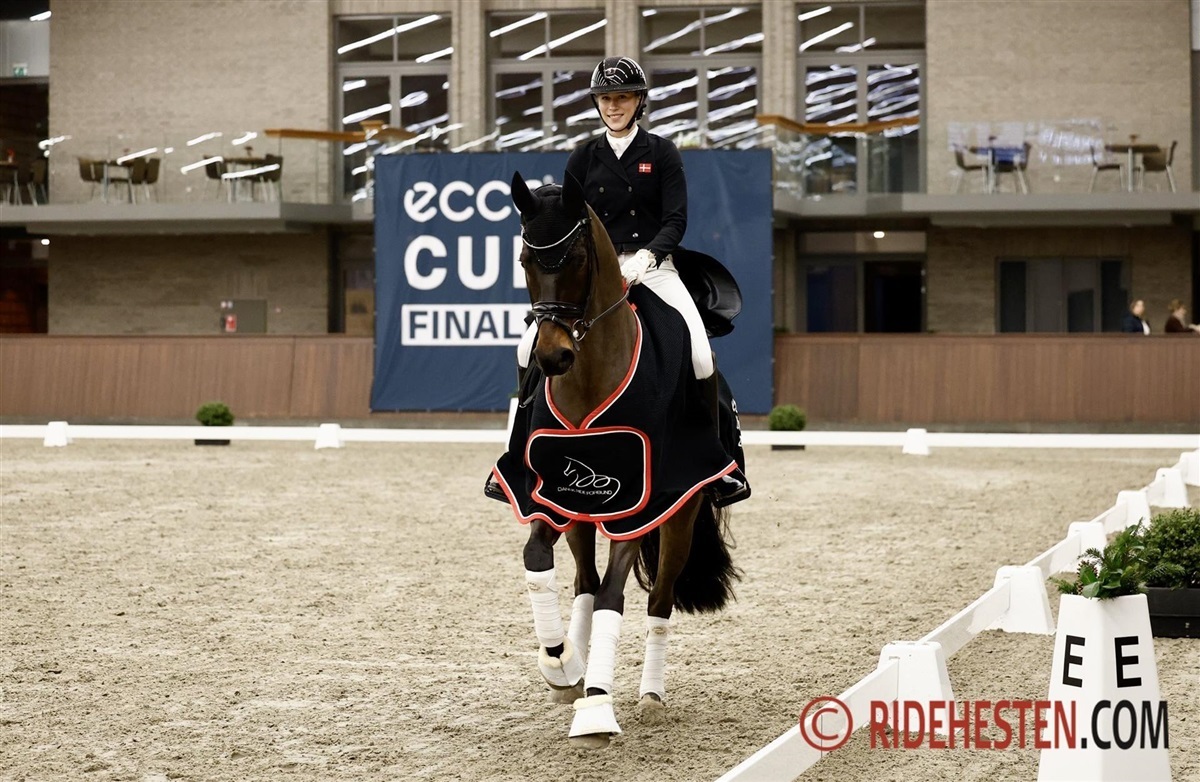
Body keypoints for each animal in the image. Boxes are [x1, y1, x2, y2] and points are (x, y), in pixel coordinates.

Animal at [492, 170, 742, 748]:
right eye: (525, 259)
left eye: (580, 258)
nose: (553, 356)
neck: (588, 375)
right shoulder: (553, 494)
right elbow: (539, 563)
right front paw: (560, 664)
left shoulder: (636, 506)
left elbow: (614, 595)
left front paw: (598, 709)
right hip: (583, 513)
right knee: (582, 582)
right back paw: (575, 666)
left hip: (680, 512)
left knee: (658, 600)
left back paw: (650, 696)